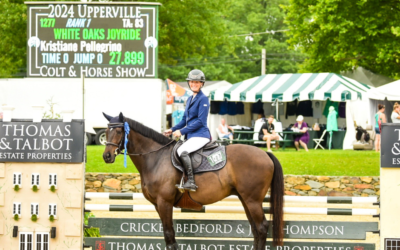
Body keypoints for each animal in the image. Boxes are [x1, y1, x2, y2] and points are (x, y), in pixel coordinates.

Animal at [102, 113, 284, 250]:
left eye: (119, 131)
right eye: (106, 131)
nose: (107, 156)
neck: (156, 158)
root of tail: (265, 153)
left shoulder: (164, 202)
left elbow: (169, 236)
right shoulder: (157, 204)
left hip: (252, 200)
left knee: (261, 227)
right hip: (245, 199)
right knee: (255, 229)